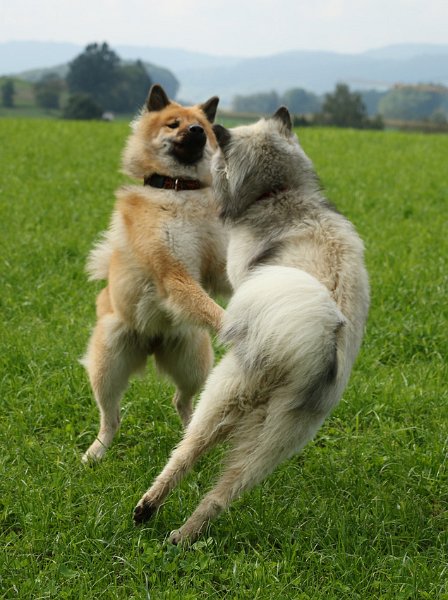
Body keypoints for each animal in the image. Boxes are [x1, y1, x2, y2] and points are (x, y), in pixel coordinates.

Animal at [80, 84, 229, 462]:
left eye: (202, 127)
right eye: (174, 124)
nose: (196, 131)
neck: (179, 189)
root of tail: (152, 340)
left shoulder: (217, 264)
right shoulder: (172, 271)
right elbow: (202, 301)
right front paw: (231, 323)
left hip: (192, 360)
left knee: (182, 400)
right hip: (109, 363)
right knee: (111, 416)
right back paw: (96, 452)